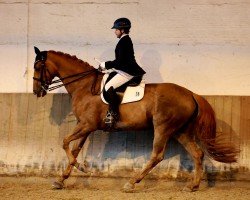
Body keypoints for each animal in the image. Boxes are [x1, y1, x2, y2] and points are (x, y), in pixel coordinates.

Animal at [33, 47, 238, 192]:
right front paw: (61, 180)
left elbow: (65, 142)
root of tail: (191, 94)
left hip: (163, 127)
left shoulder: (86, 125)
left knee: (157, 155)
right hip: (182, 131)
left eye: (37, 67)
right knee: (197, 154)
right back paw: (192, 186)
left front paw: (82, 168)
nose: (37, 91)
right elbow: (74, 149)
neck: (84, 86)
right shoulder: (85, 126)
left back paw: (131, 183)